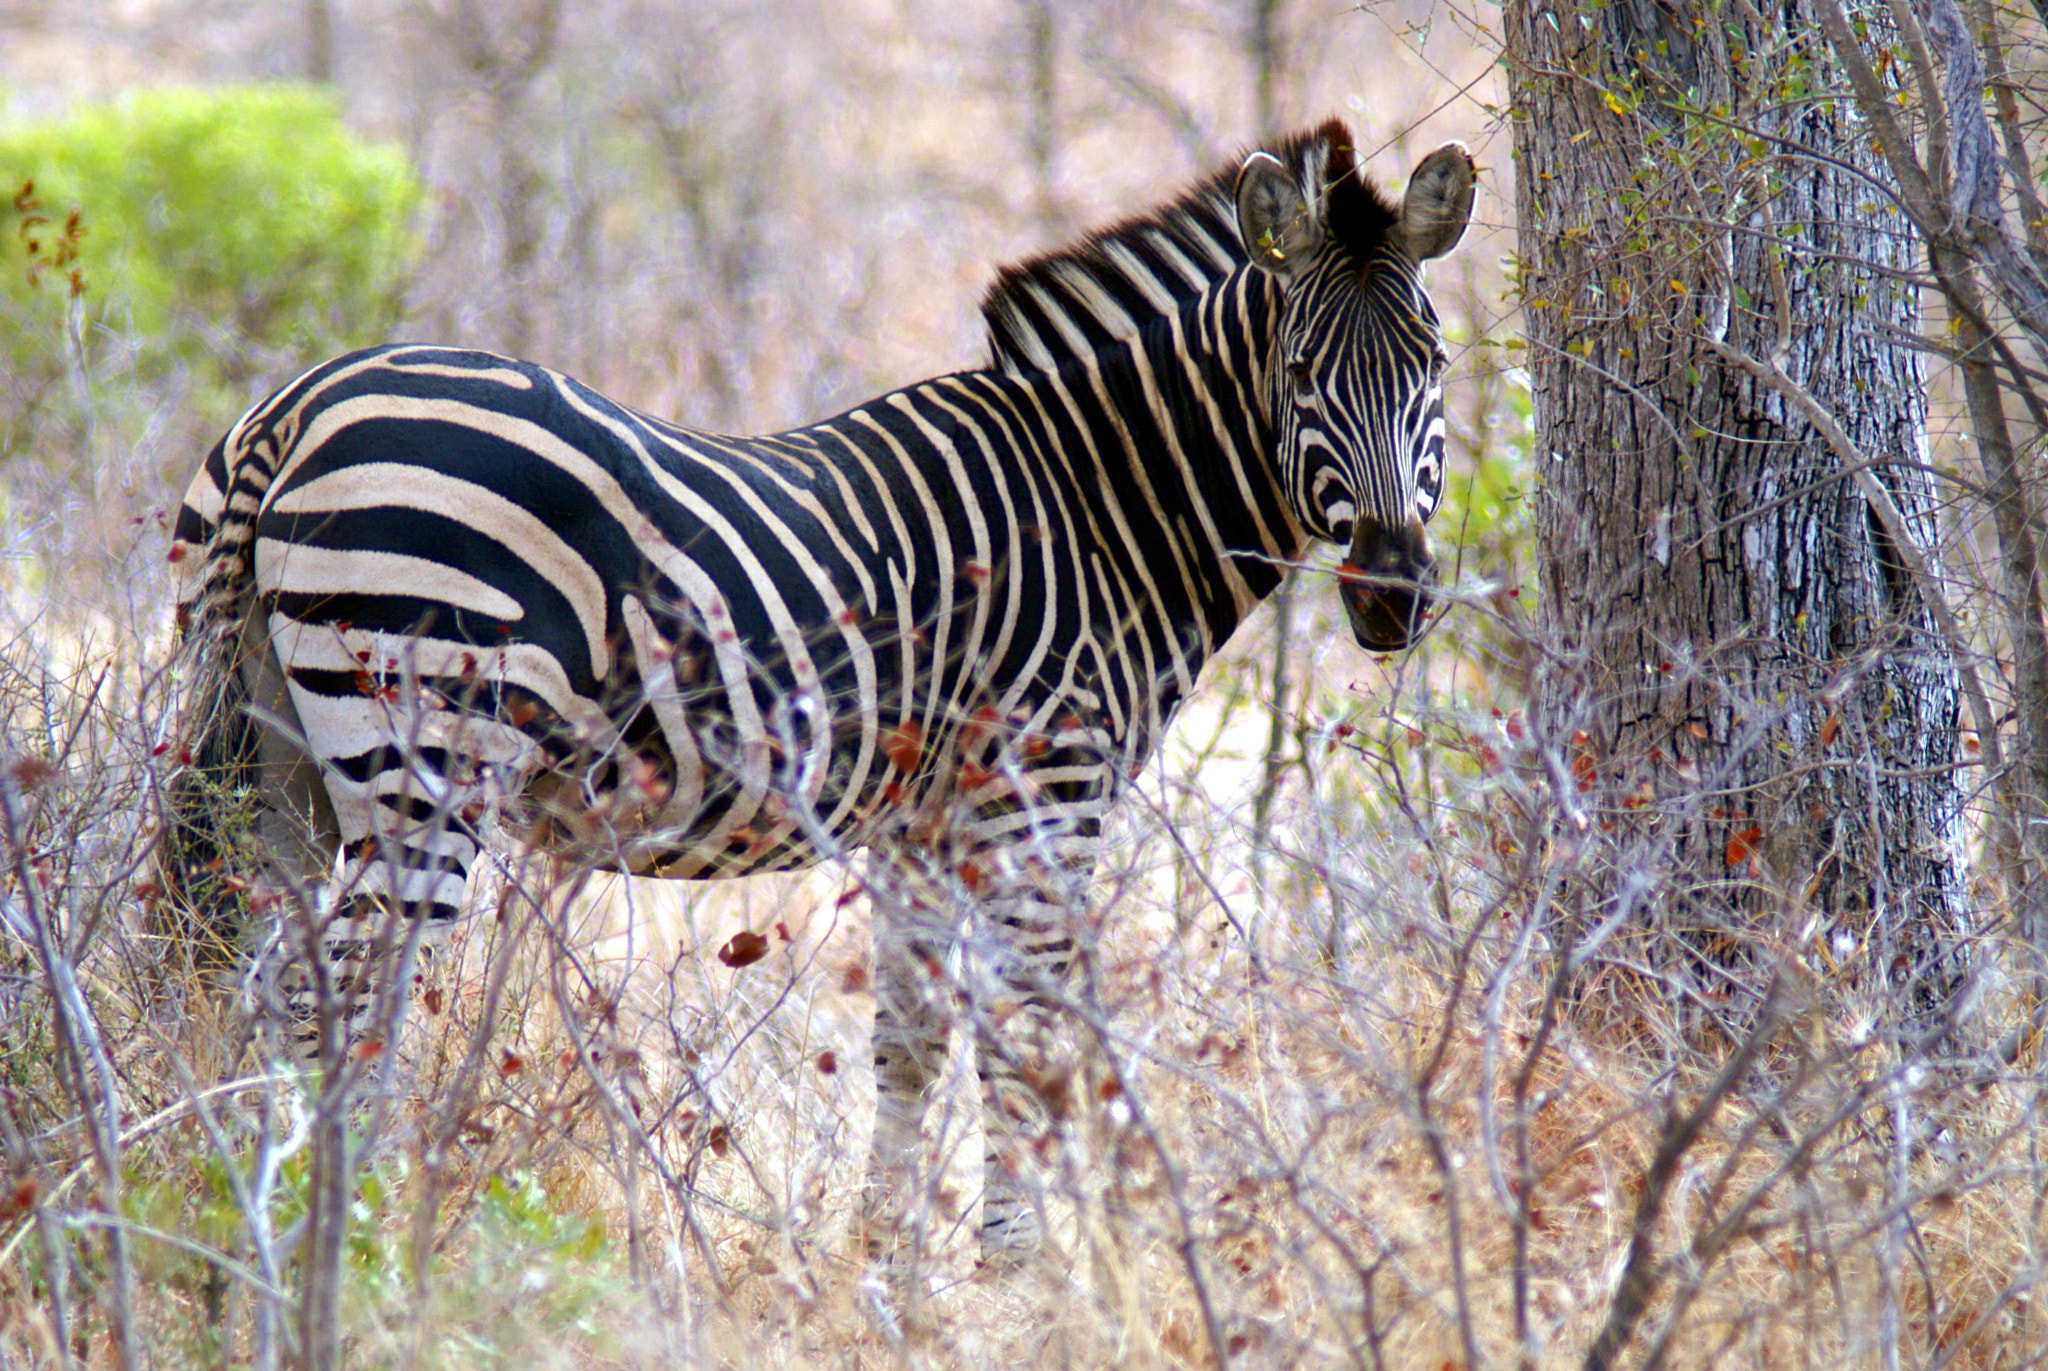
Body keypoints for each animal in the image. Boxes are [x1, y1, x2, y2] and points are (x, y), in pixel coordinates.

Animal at [160, 118, 1475, 1262]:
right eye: (1299, 373)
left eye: (1437, 366)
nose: (1391, 595)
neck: (1102, 503)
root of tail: (297, 409)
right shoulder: (1043, 793)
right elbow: (1026, 1036)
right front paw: (1023, 1277)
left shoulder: (925, 825)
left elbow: (910, 1040)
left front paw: (882, 1271)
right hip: (424, 757)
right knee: (339, 994)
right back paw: (352, 1239)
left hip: (273, 754)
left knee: (243, 974)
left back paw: (229, 1222)